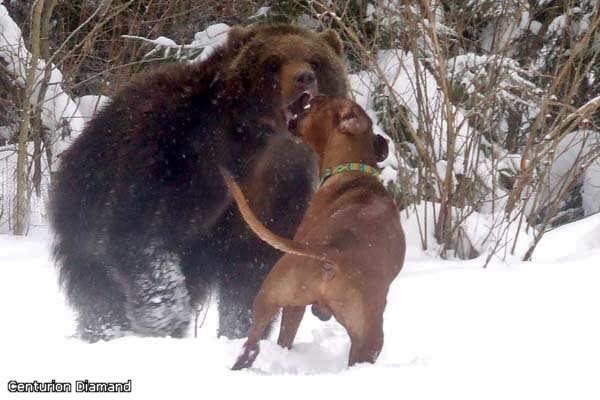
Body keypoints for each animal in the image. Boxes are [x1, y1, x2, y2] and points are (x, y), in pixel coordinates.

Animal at [49, 24, 350, 340]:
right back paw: (108, 330)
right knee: (99, 289)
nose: (303, 77)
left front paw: (240, 328)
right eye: (273, 62)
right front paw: (166, 319)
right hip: (85, 211)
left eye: (316, 60)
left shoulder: (281, 189)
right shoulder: (176, 156)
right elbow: (144, 235)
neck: (255, 142)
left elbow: (252, 268)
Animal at [223, 96, 406, 368]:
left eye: (319, 102)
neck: (354, 170)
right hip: (364, 339)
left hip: (280, 298)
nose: (306, 96)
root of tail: (333, 251)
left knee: (263, 342)